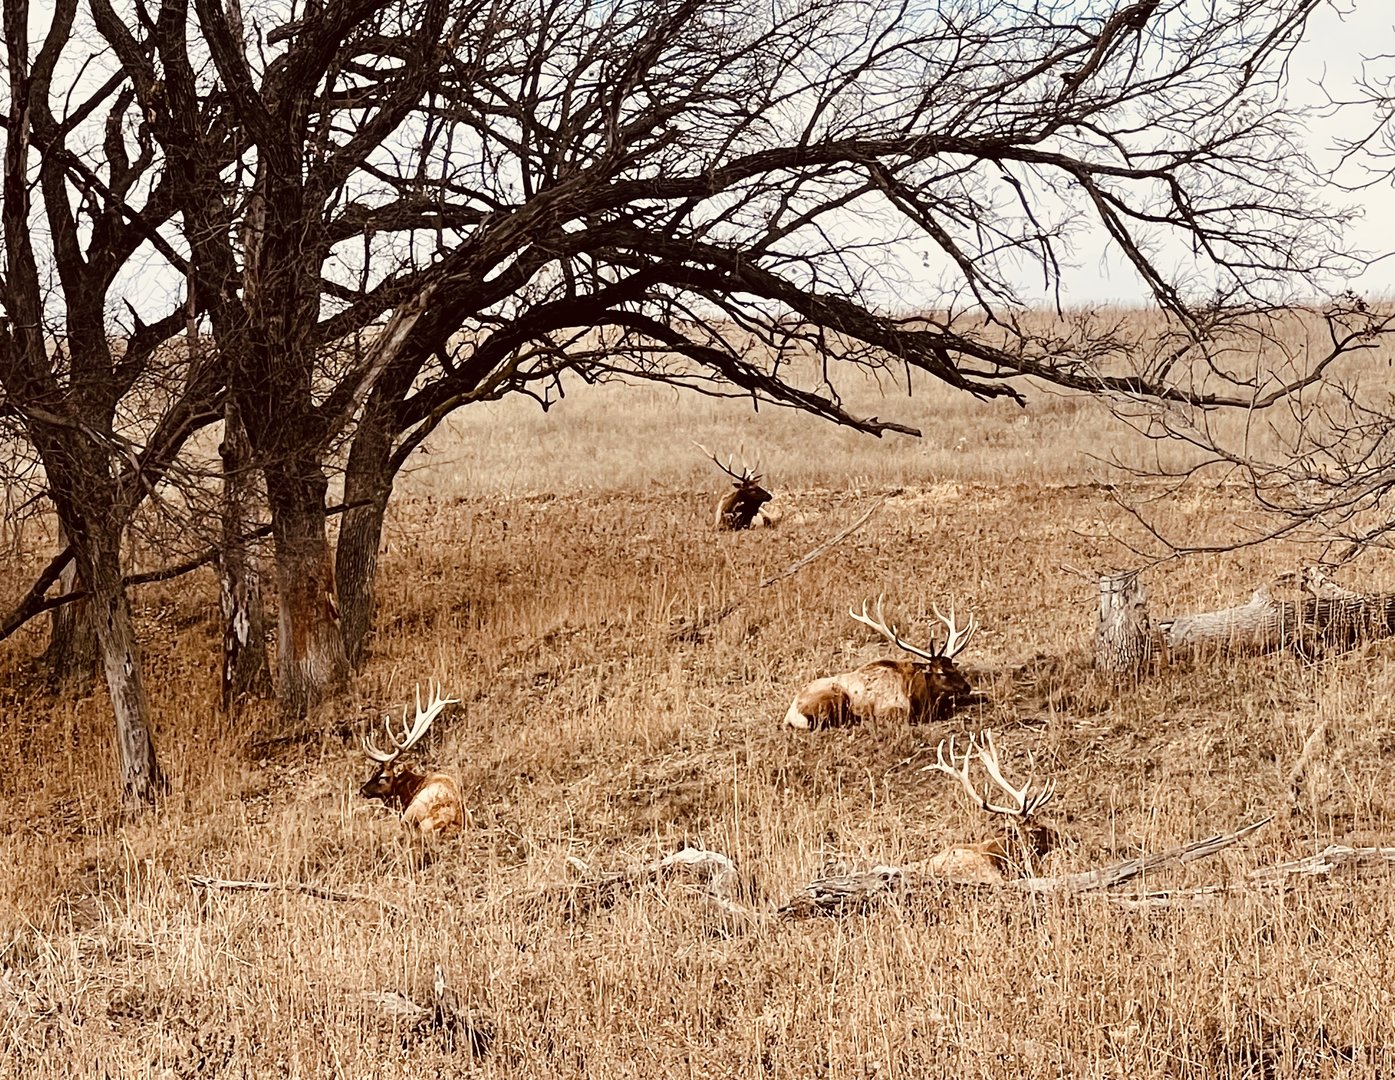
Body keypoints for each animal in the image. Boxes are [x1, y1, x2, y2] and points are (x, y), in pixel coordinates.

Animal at [784, 597, 979, 729]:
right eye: (941, 672)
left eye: (953, 667)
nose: (967, 687)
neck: (917, 694)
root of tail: (790, 716)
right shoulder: (891, 708)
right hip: (835, 697)